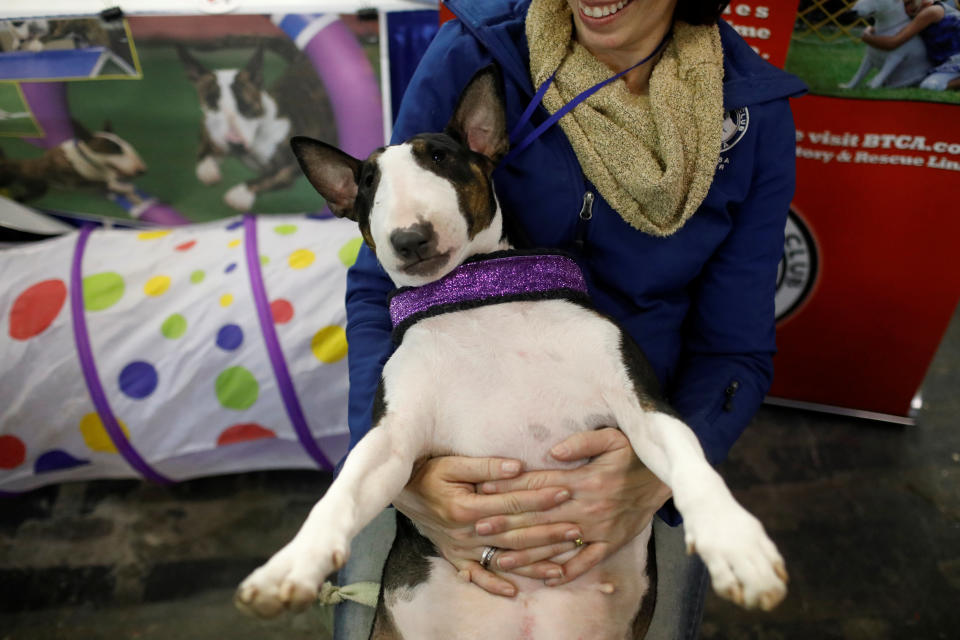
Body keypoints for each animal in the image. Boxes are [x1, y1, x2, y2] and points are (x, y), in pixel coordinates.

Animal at [234, 66, 788, 640]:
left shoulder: (642, 404)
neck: (479, 296)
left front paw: (735, 543)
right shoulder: (392, 440)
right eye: (368, 185)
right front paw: (291, 564)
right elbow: (341, 491)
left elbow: (691, 463)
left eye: (441, 158)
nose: (409, 239)